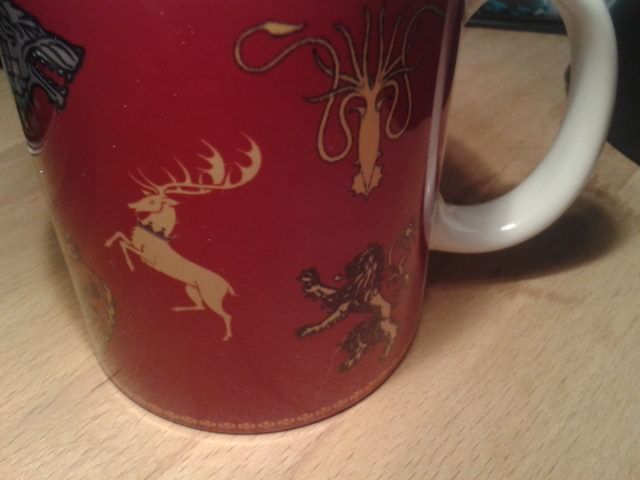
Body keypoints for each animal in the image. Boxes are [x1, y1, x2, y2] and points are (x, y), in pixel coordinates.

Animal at [105, 136, 262, 341]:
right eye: (148, 196)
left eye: (153, 201)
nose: (131, 205)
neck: (153, 234)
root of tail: (226, 285)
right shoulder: (135, 243)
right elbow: (119, 236)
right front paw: (109, 243)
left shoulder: (149, 259)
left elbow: (124, 244)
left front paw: (130, 265)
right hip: (191, 289)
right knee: (200, 307)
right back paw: (178, 308)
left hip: (211, 296)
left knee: (226, 315)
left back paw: (226, 336)